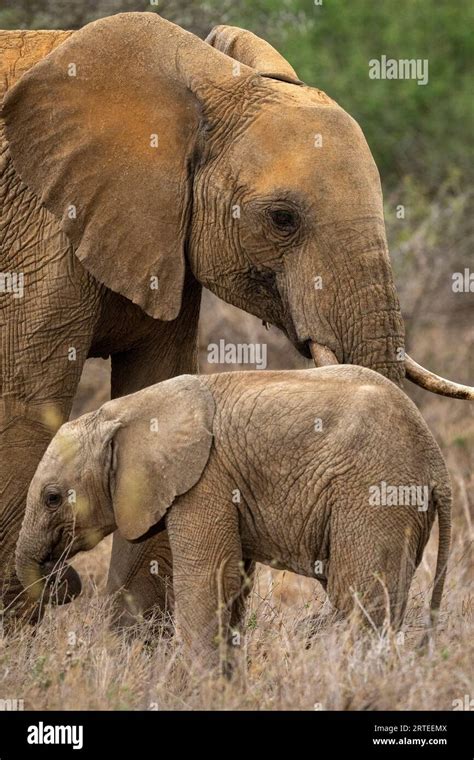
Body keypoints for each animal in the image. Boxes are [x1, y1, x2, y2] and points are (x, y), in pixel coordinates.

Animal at [1, 13, 472, 624]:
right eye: (283, 219)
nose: (66, 584)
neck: (205, 79)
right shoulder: (42, 230)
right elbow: (28, 402)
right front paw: (19, 628)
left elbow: (157, 389)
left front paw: (141, 637)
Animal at [16, 366, 450, 664]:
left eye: (52, 498)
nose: (63, 580)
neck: (123, 412)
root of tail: (435, 458)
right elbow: (232, 583)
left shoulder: (205, 479)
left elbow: (207, 579)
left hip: (377, 492)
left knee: (359, 598)